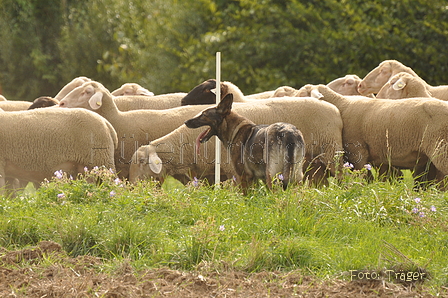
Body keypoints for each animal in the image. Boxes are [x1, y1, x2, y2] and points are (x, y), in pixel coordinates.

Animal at [128, 97, 344, 186]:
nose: (132, 187)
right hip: (310, 164)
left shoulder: (233, 171)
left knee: (343, 176)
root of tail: (335, 109)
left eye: (141, 162)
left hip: (331, 151)